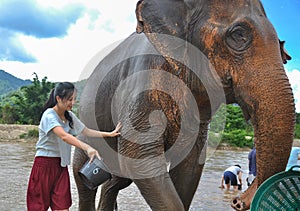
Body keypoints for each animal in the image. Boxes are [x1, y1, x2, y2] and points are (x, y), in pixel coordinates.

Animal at [72, 0, 296, 210]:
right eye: (238, 34)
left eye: (282, 50)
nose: (236, 202)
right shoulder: (144, 79)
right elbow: (140, 157)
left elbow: (190, 165)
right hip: (86, 123)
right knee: (83, 176)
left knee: (116, 181)